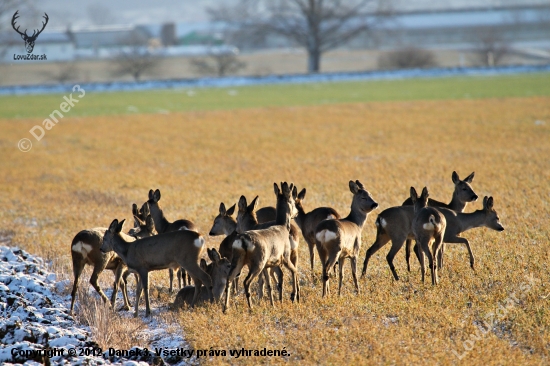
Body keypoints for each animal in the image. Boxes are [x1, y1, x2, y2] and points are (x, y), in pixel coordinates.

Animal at [224, 183, 302, 312]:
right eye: (291, 200)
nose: (296, 213)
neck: (282, 227)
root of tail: (242, 240)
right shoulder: (284, 257)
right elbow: (293, 271)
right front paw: (291, 296)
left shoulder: (268, 265)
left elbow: (268, 283)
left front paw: (272, 303)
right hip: (258, 262)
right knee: (247, 281)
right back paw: (251, 307)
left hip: (239, 261)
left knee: (229, 278)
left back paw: (226, 308)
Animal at [364, 197, 506, 280]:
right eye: (497, 217)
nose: (502, 227)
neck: (460, 221)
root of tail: (380, 217)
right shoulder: (448, 235)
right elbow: (466, 240)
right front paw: (472, 264)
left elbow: (438, 255)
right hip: (398, 236)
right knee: (389, 256)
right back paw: (397, 278)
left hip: (384, 236)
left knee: (369, 251)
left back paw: (363, 275)